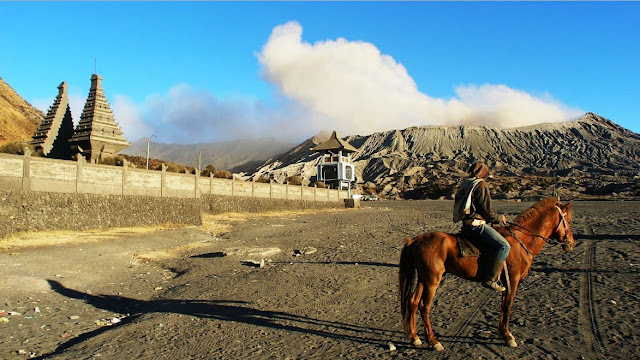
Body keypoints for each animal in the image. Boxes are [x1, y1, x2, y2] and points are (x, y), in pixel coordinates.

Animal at [400, 197, 576, 352]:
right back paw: (434, 341)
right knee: (424, 306)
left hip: (423, 278)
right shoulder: (513, 279)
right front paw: (508, 337)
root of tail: (415, 240)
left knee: (413, 302)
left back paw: (415, 338)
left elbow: (503, 305)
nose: (571, 244)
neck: (521, 241)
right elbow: (509, 305)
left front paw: (503, 333)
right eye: (568, 220)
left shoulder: (505, 282)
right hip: (432, 280)